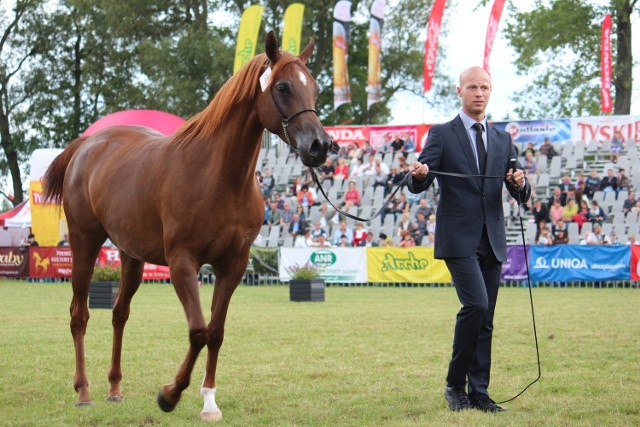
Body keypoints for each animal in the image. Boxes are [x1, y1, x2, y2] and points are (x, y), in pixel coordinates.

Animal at [42, 31, 330, 422]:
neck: (218, 175)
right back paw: (83, 392)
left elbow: (216, 331)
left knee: (119, 313)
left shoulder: (232, 266)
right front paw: (170, 394)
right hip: (84, 244)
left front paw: (209, 402)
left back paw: (114, 388)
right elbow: (197, 331)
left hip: (130, 256)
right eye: (283, 86)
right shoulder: (182, 263)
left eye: (315, 88)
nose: (320, 146)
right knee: (79, 314)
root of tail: (88, 144)